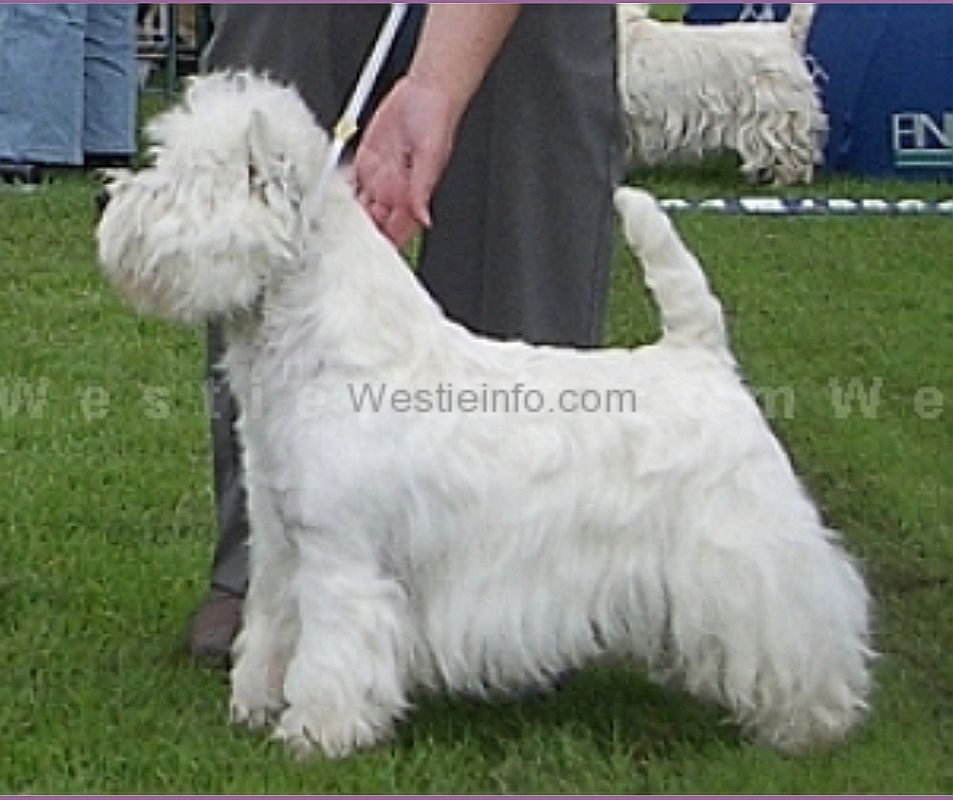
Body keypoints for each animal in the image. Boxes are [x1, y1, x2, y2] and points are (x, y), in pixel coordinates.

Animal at [95, 73, 872, 756]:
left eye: (181, 177)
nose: (108, 198)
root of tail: (701, 355)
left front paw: (317, 733)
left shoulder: (342, 555)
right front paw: (255, 704)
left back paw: (810, 724)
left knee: (803, 627)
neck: (316, 349)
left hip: (742, 548)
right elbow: (272, 629)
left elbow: (335, 648)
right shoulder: (284, 544)